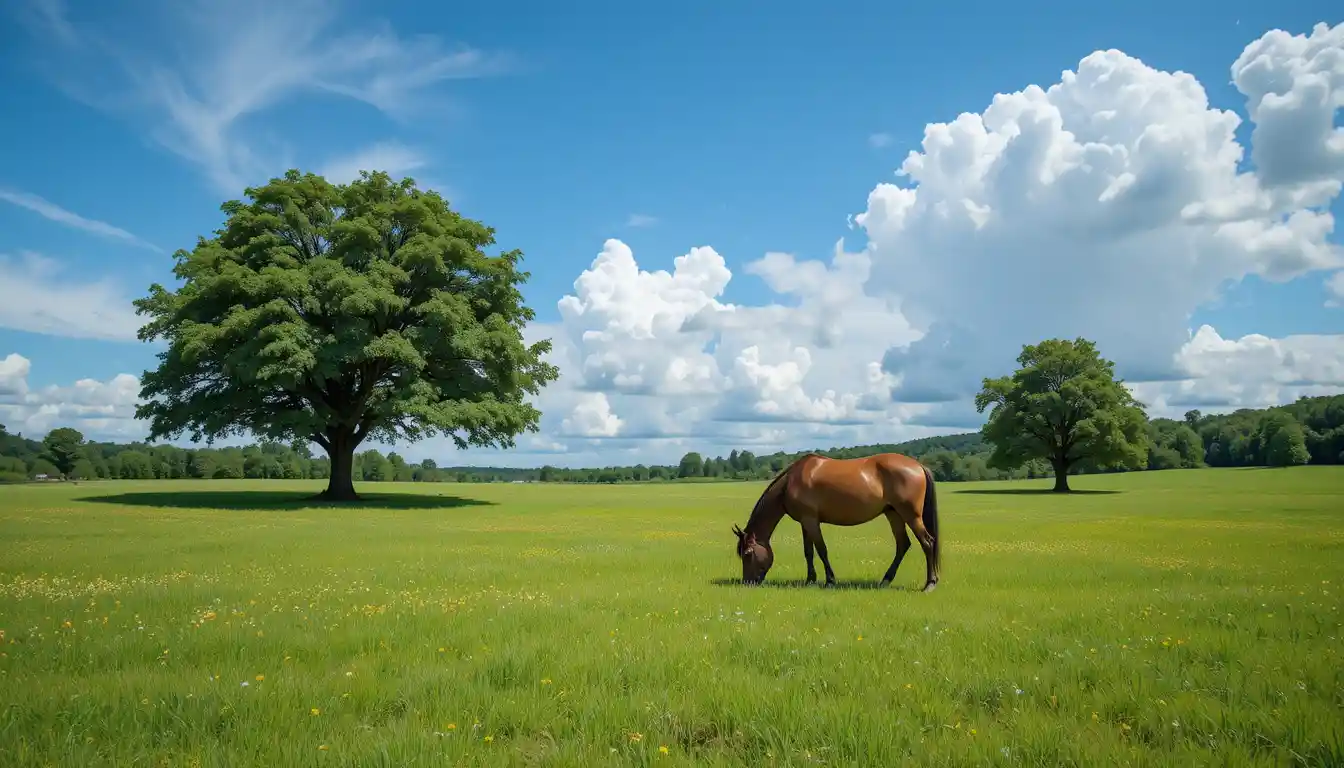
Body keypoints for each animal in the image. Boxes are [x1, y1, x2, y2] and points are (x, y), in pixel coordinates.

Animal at [732, 452, 941, 591]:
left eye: (748, 553)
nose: (747, 582)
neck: (790, 482)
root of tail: (918, 466)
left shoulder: (811, 521)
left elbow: (821, 550)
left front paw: (830, 580)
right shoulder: (805, 522)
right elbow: (808, 552)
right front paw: (810, 580)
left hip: (911, 516)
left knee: (927, 543)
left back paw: (930, 584)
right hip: (893, 514)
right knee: (903, 545)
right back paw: (885, 580)